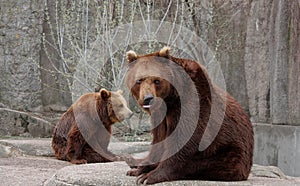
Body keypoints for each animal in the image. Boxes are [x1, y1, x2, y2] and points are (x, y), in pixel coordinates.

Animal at [125, 46, 254, 185]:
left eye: (157, 80)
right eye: (139, 80)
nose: (148, 99)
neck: (170, 100)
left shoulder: (192, 105)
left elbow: (184, 142)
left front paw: (148, 176)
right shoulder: (160, 116)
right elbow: (159, 139)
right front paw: (139, 170)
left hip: (229, 154)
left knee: (199, 164)